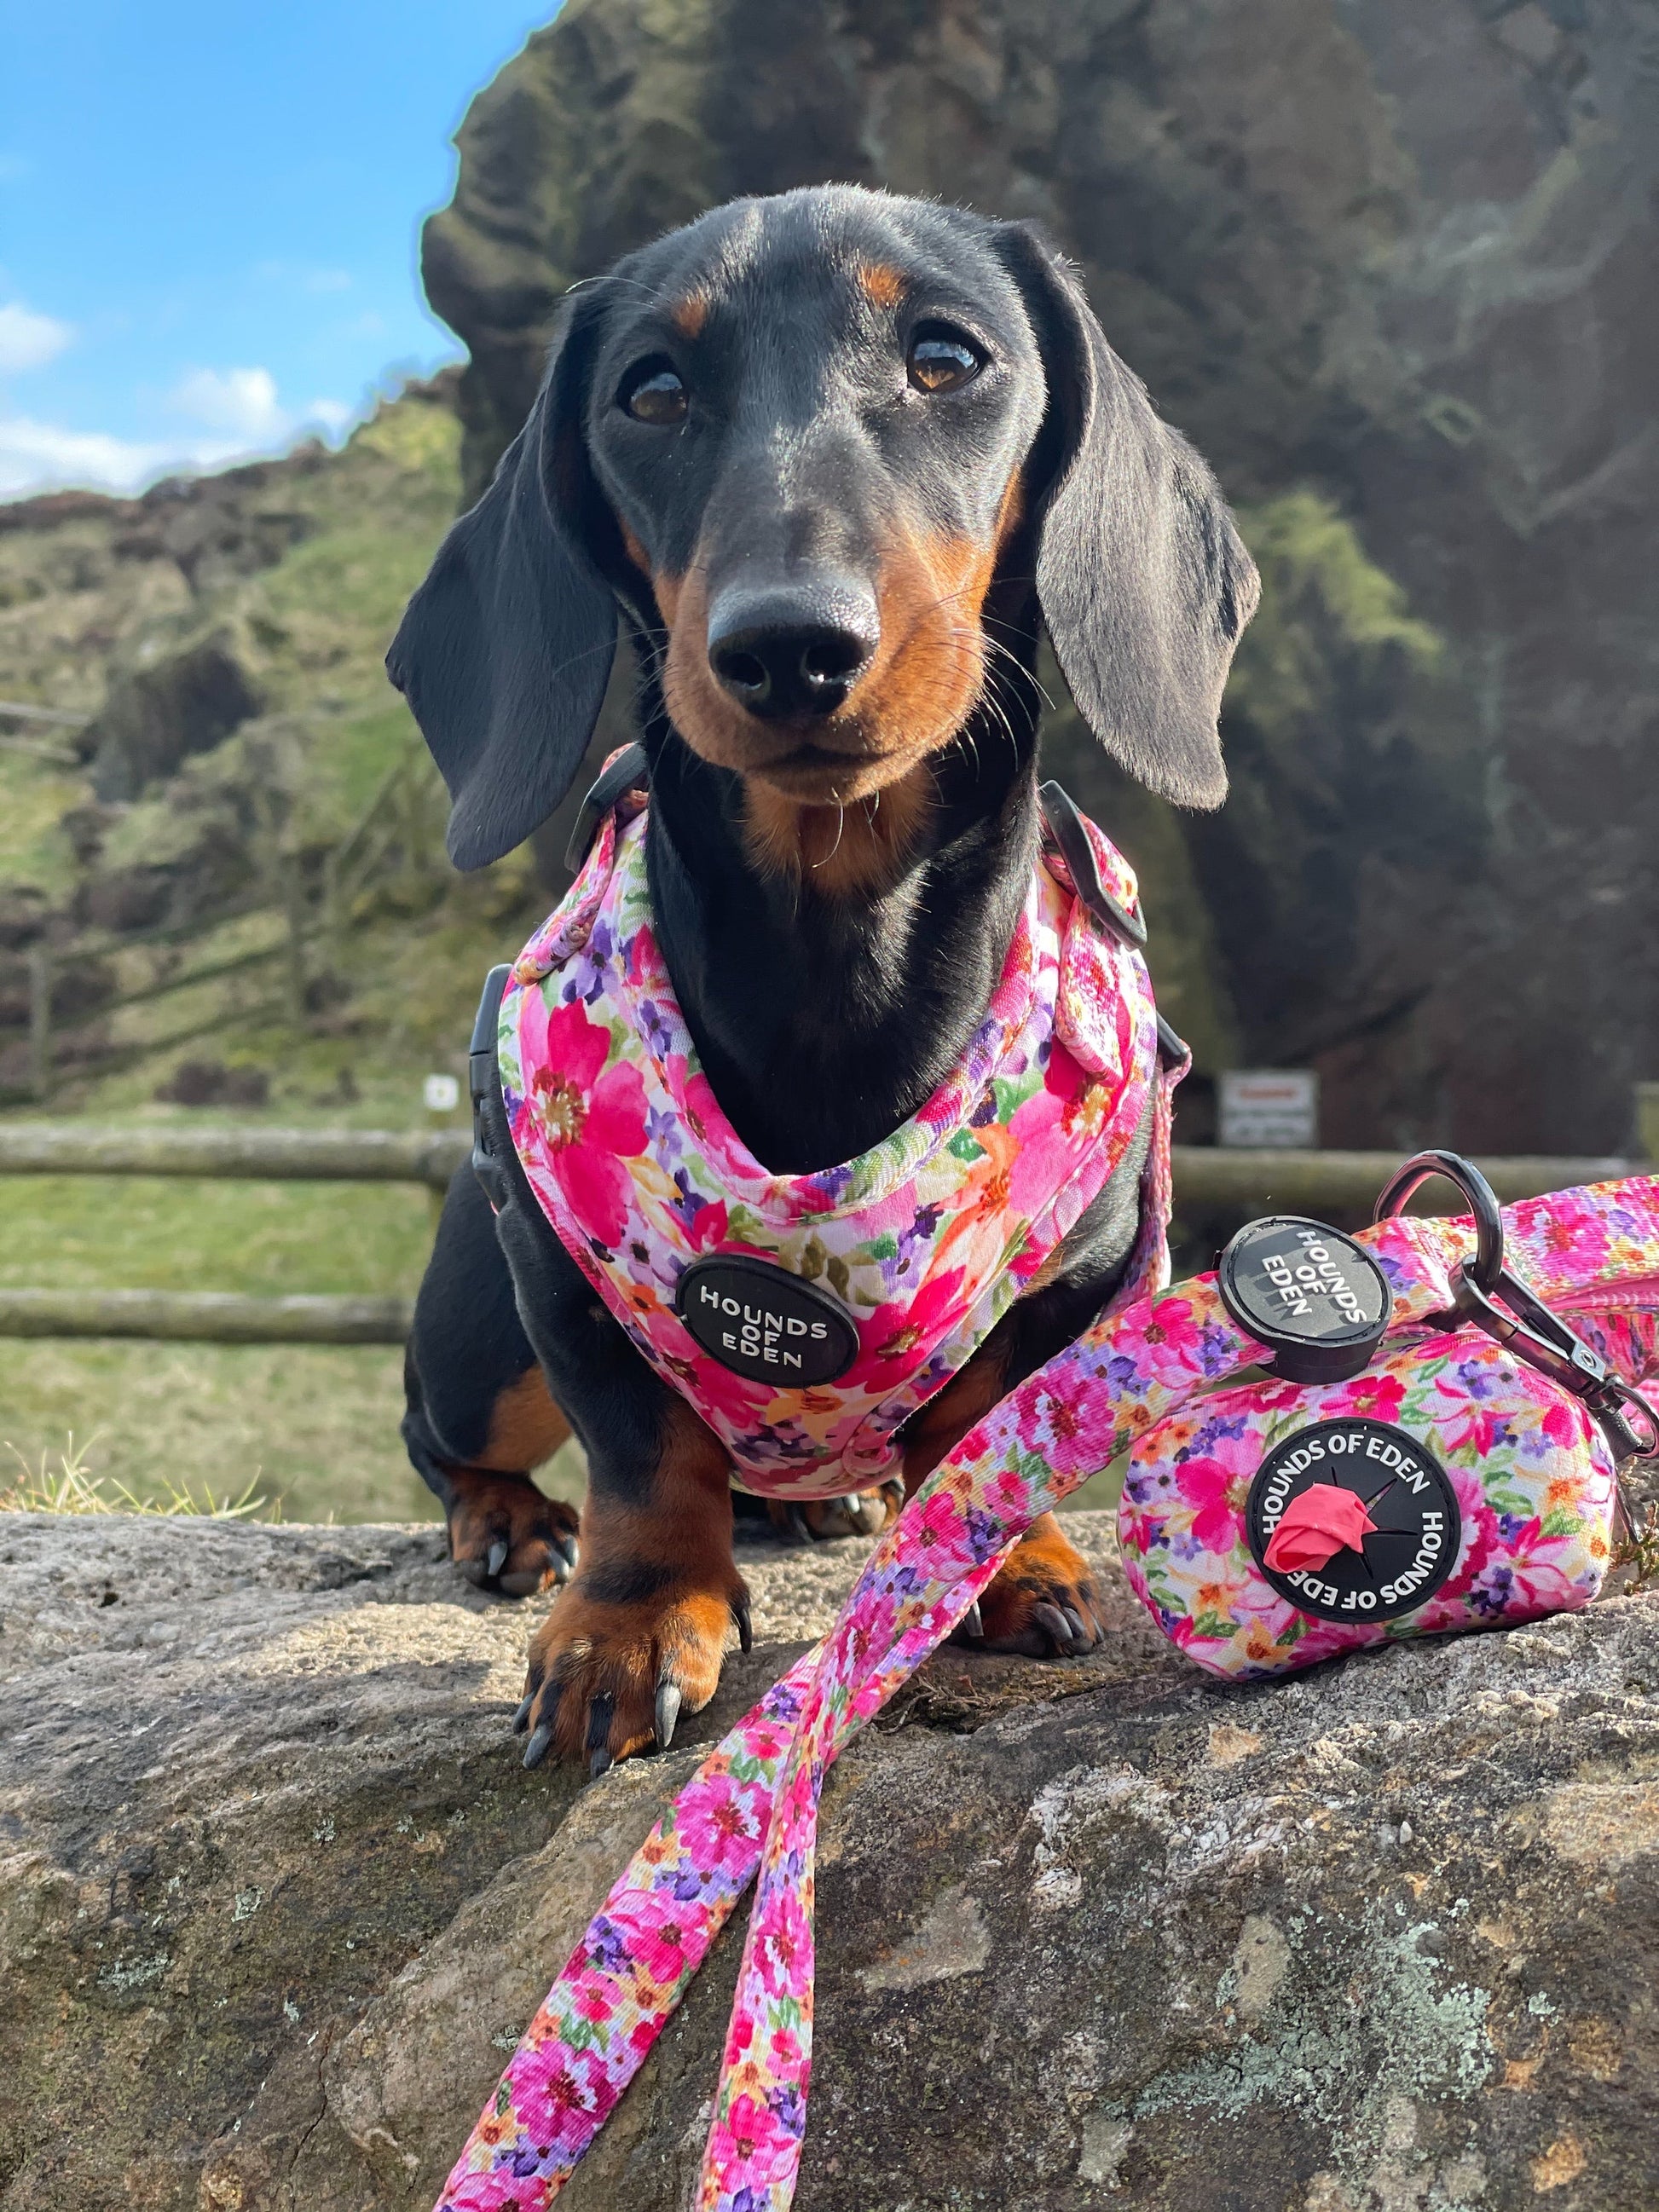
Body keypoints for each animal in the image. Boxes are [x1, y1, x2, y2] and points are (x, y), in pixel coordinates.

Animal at [389, 185, 1256, 1778]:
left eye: (947, 355)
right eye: (649, 392)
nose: (790, 646)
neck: (839, 939)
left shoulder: (1086, 1268)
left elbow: (983, 1424)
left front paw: (1001, 1559)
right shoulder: (558, 1257)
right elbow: (640, 1444)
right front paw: (629, 1621)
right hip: (478, 1333)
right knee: (451, 1437)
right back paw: (511, 1524)